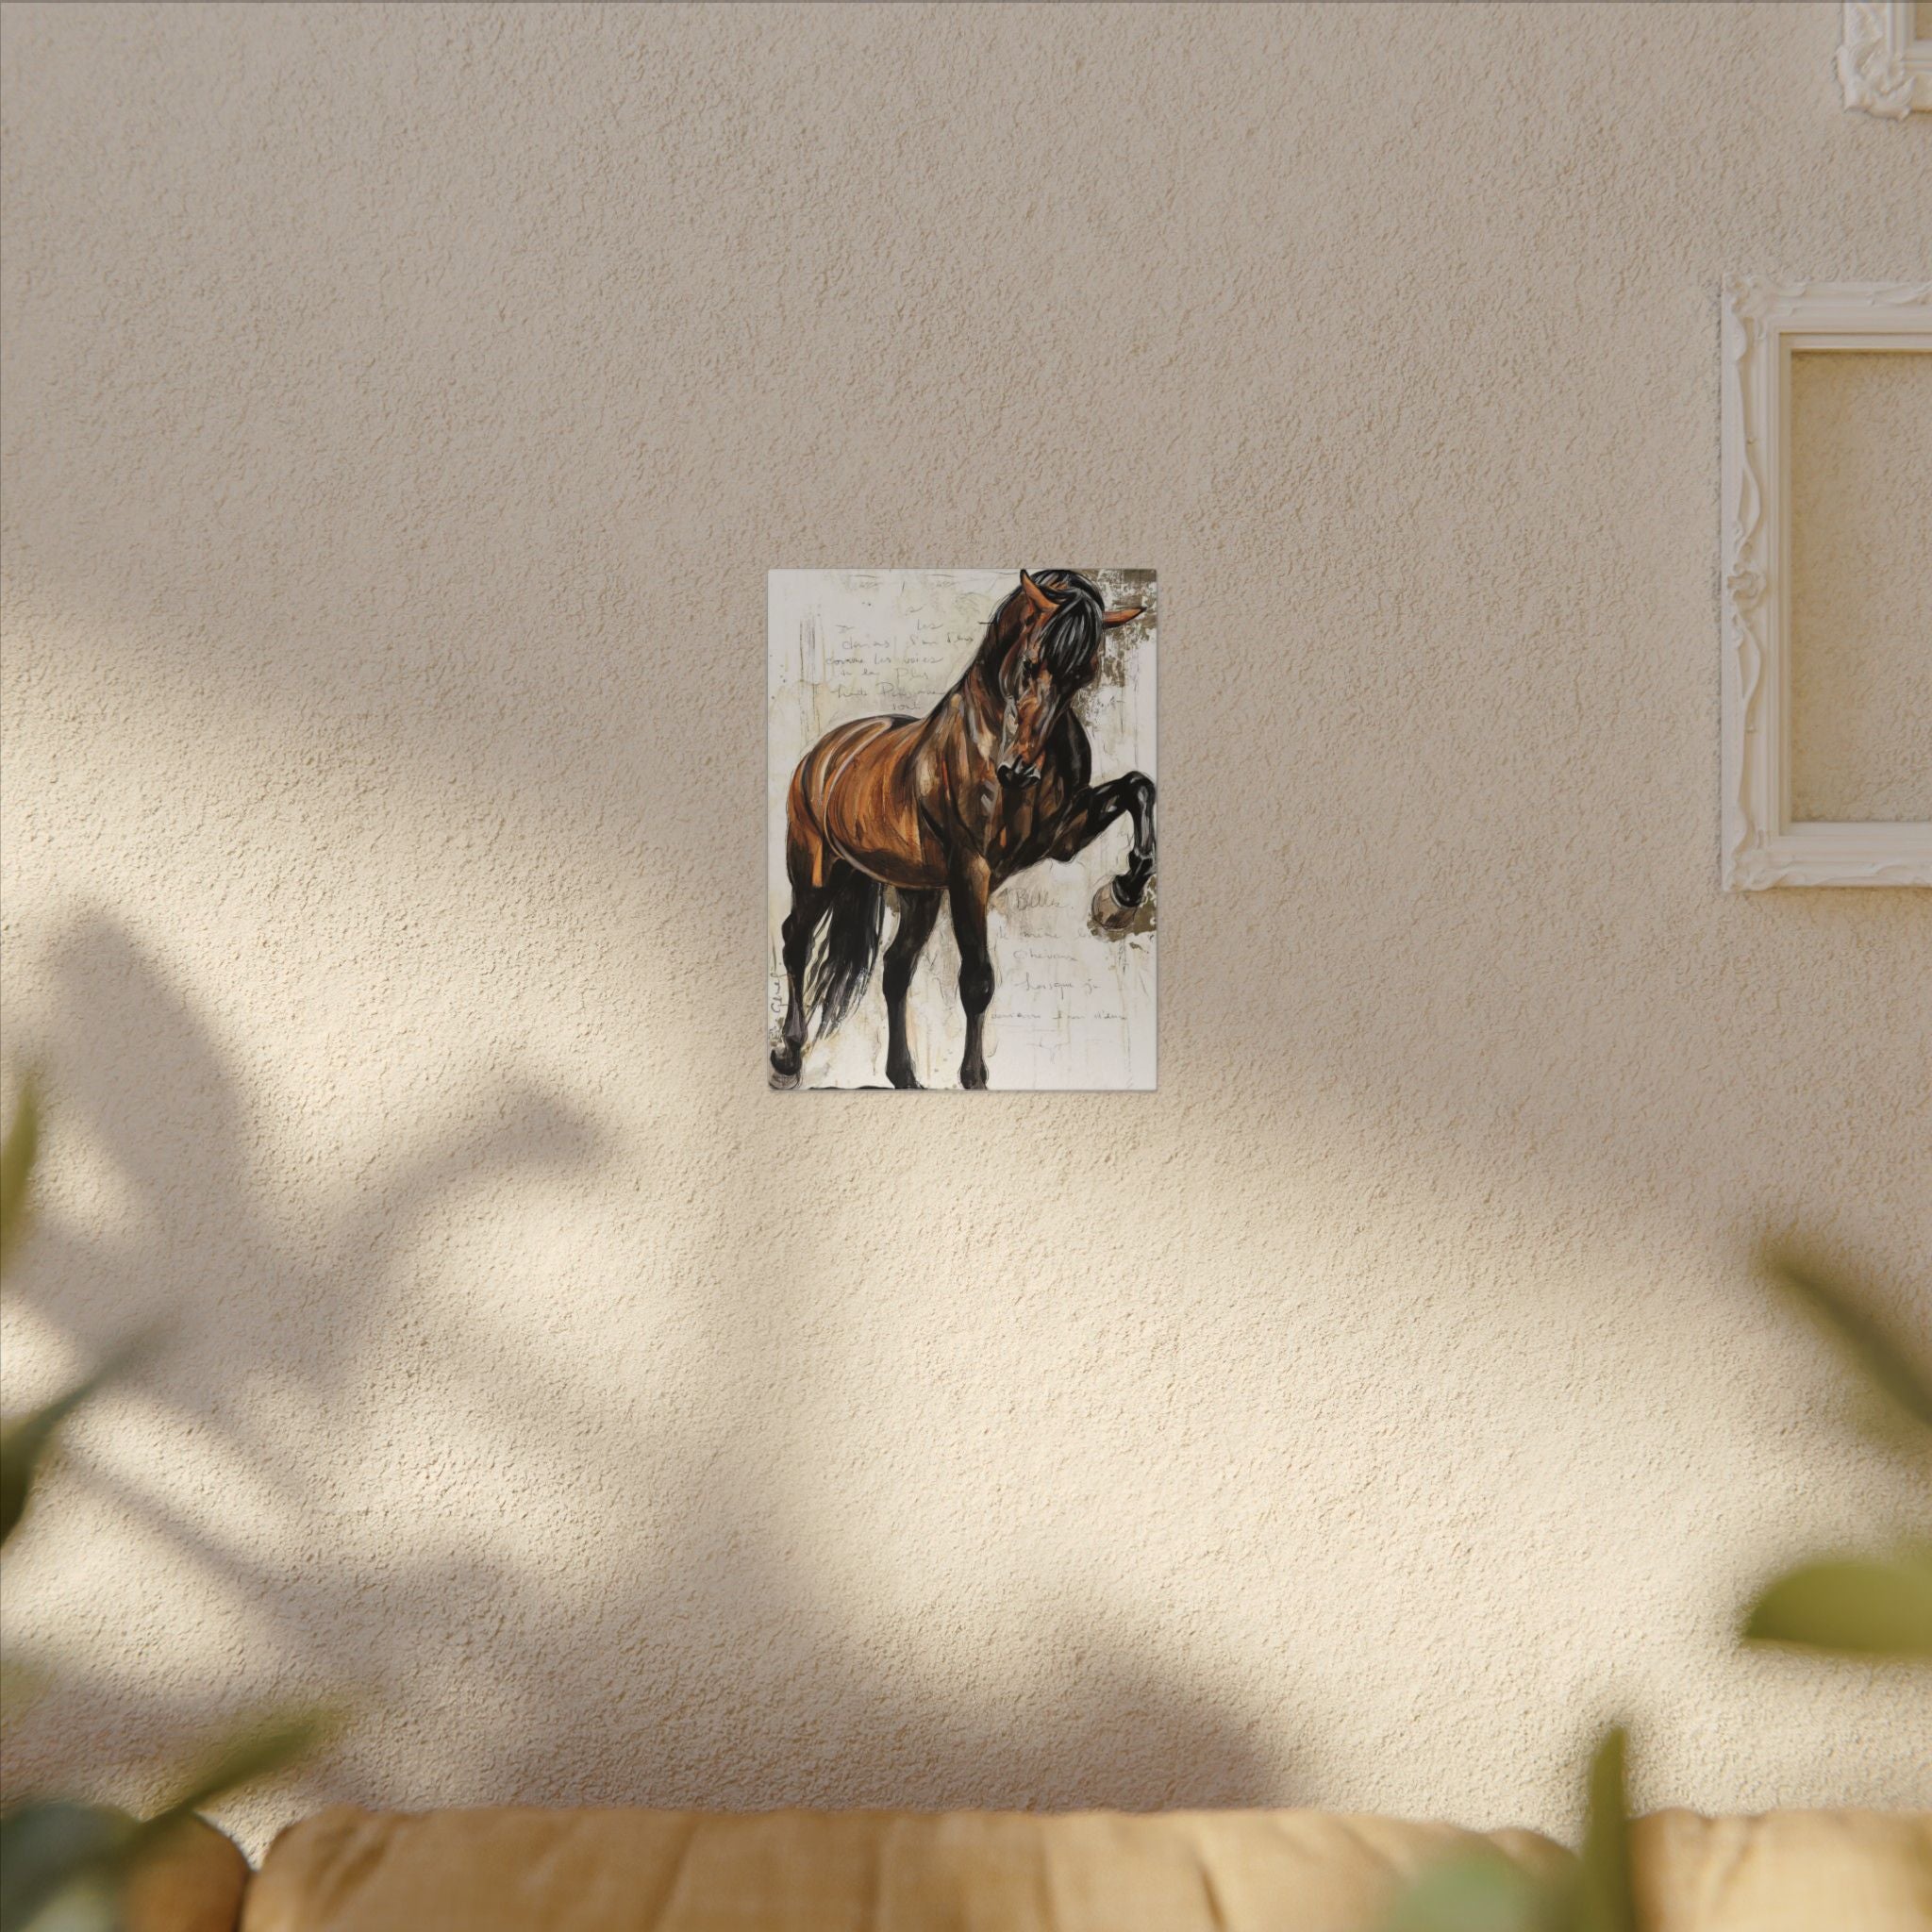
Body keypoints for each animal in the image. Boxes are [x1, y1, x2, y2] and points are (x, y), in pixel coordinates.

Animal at [770, 569, 1156, 1090]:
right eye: (1031, 663)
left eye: (1085, 673)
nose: (1019, 771)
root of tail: (826, 751)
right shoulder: (971, 871)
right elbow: (977, 980)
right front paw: (974, 1077)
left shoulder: (1063, 837)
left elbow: (1138, 787)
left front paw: (1122, 895)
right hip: (816, 871)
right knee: (796, 942)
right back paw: (789, 1057)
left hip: (919, 893)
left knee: (895, 969)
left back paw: (904, 1075)